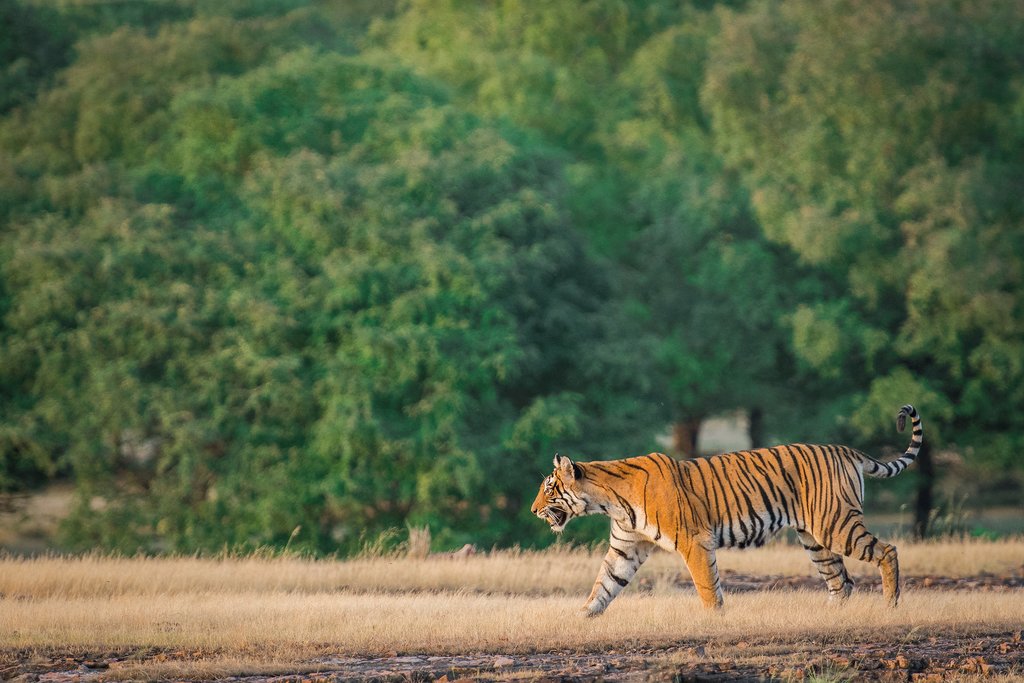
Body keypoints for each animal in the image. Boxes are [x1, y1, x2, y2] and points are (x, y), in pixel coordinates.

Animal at [532, 403, 925, 618]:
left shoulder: (694, 542)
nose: (534, 510)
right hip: (815, 538)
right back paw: (827, 617)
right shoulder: (625, 548)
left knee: (887, 551)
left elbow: (708, 588)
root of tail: (845, 449)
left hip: (836, 524)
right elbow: (604, 586)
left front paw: (713, 622)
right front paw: (580, 618)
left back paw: (890, 606)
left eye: (549, 488)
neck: (608, 501)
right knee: (841, 583)